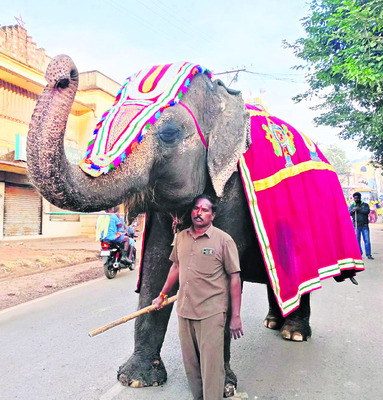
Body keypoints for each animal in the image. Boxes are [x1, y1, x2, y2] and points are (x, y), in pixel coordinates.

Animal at [27, 54, 364, 396]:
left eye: (169, 133)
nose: (63, 70)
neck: (220, 96)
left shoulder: (232, 189)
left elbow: (226, 277)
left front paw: (224, 386)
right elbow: (157, 265)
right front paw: (136, 379)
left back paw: (293, 333)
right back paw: (273, 322)